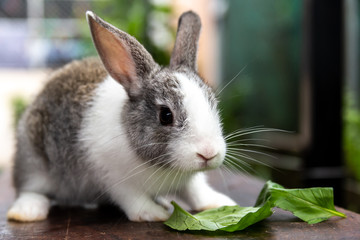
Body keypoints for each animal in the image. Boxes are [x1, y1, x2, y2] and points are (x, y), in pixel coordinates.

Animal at [6, 10, 236, 222]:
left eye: (213, 104)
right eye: (166, 115)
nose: (208, 153)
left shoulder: (189, 182)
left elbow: (196, 191)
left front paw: (221, 203)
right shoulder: (114, 178)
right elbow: (134, 200)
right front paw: (155, 213)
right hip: (31, 158)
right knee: (30, 188)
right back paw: (27, 212)